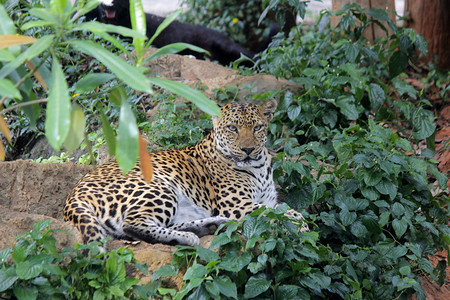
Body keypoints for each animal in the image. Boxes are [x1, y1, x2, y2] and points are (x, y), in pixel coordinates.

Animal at [63, 99, 308, 247]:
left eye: (257, 128)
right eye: (232, 128)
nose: (248, 149)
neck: (257, 166)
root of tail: (72, 194)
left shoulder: (268, 200)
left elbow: (287, 211)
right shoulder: (238, 205)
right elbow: (283, 214)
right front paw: (304, 229)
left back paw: (210, 225)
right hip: (157, 187)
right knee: (133, 224)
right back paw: (190, 237)